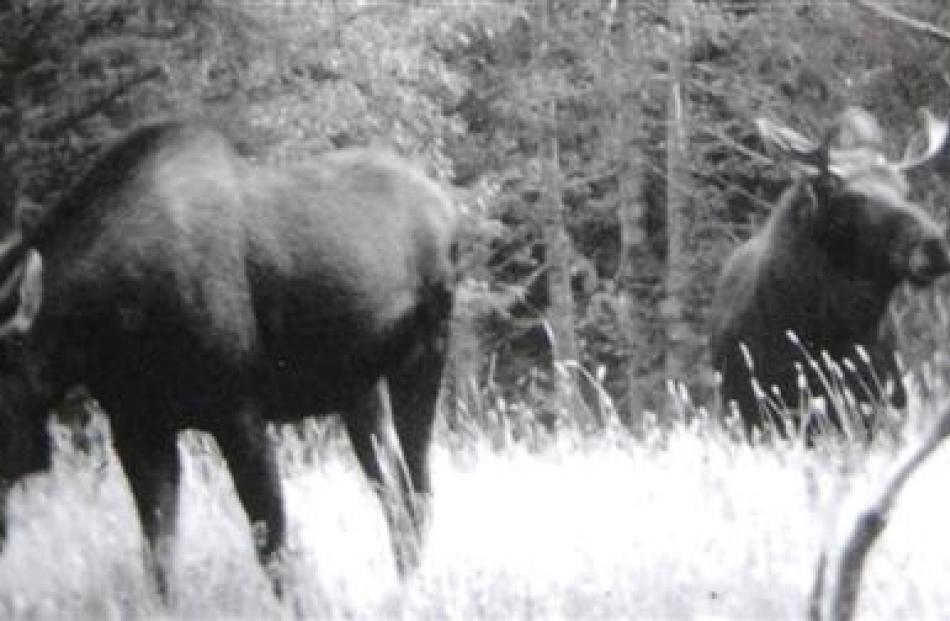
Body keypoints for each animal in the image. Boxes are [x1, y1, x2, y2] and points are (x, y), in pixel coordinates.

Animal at [0, 118, 462, 600]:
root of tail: (449, 209)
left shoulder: (238, 413)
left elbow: (273, 545)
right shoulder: (137, 429)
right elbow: (159, 561)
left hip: (424, 356)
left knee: (418, 490)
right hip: (359, 389)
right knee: (394, 488)